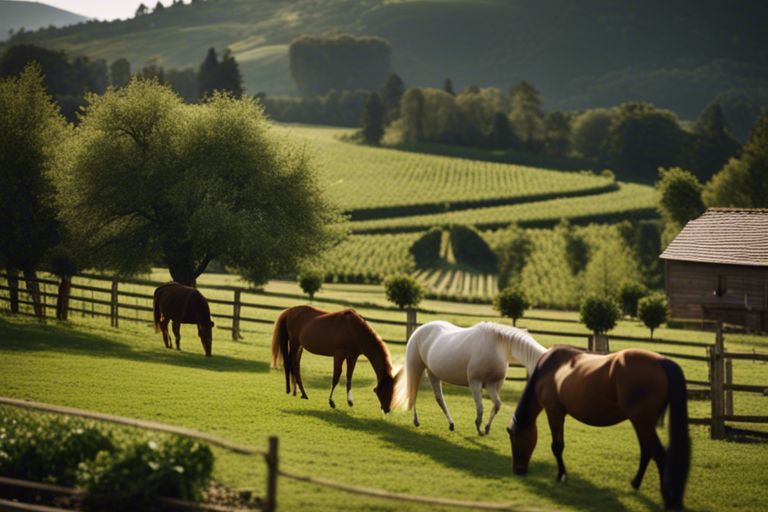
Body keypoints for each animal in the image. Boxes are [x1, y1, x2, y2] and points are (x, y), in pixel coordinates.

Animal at [396, 322, 544, 434]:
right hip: (416, 369)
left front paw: (486, 428)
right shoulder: (475, 382)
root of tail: (418, 330)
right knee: (413, 393)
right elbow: (480, 407)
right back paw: (416, 421)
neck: (497, 344)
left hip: (433, 374)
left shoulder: (492, 384)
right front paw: (478, 427)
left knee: (439, 398)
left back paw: (451, 424)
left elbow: (497, 405)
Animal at [510, 346, 688, 510]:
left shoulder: (554, 411)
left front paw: (561, 475)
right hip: (642, 423)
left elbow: (557, 446)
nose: (518, 470)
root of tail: (661, 361)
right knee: (647, 451)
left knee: (659, 455)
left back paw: (667, 500)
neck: (550, 369)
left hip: (642, 422)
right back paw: (636, 483)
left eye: (515, 439)